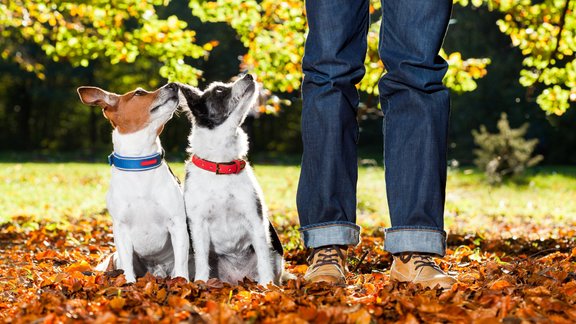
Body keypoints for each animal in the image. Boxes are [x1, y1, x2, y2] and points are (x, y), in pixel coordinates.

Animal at [77, 83, 190, 284]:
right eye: (139, 93)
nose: (174, 85)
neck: (140, 163)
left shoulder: (177, 224)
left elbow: (181, 265)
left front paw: (183, 283)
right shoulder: (121, 228)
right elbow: (128, 267)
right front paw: (129, 285)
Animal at [179, 74, 286, 286]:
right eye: (219, 90)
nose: (249, 75)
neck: (221, 164)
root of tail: (237, 279)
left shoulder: (255, 219)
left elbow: (263, 257)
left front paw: (266, 287)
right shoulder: (198, 224)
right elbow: (202, 259)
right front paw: (200, 284)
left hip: (276, 254)